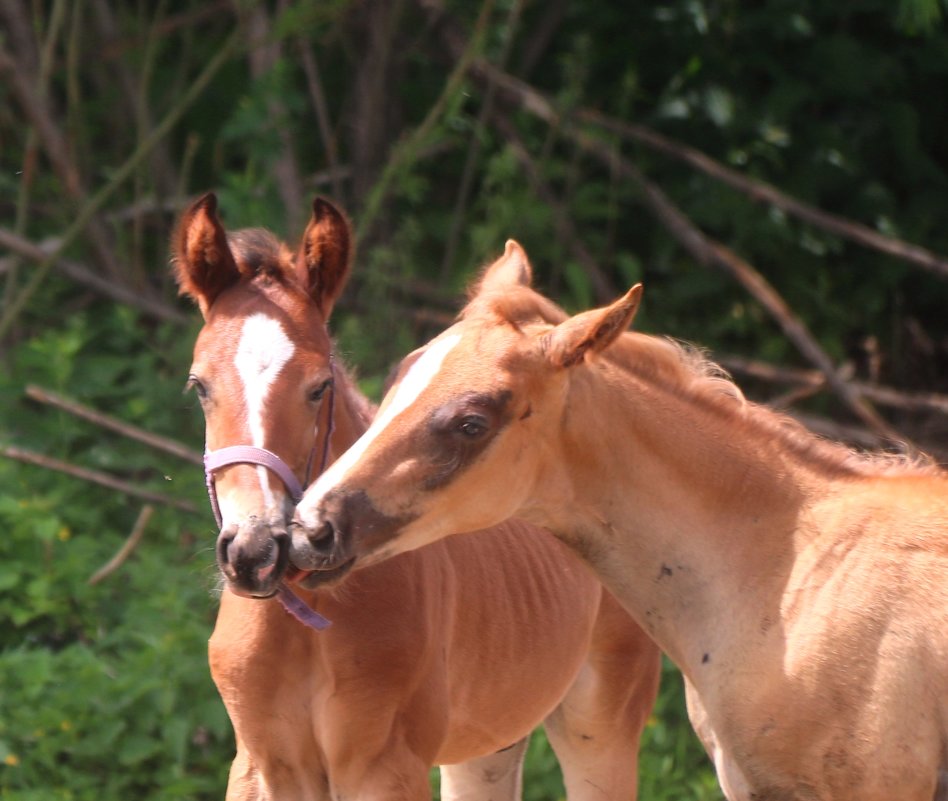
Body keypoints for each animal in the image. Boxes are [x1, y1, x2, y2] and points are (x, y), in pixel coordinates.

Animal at [172, 195, 660, 800]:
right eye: (199, 386)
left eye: (319, 386)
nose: (255, 550)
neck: (308, 624)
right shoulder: (263, 767)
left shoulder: (384, 768)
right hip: (488, 746)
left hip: (601, 723)